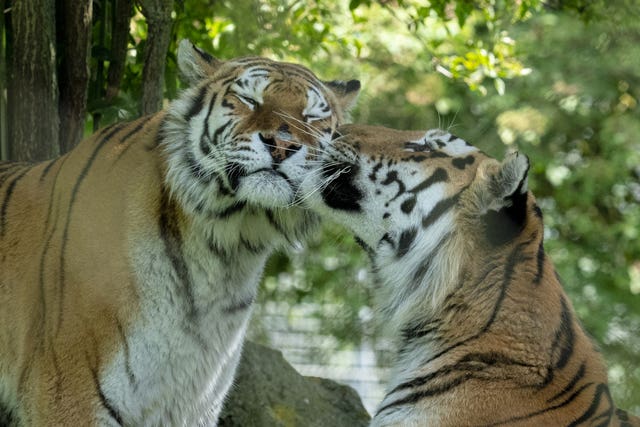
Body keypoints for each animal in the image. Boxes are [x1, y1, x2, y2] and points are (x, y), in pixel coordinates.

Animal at [0, 38, 360, 426]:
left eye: (312, 117)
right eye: (249, 100)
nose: (282, 144)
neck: (227, 248)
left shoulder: (194, 402)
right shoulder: (70, 394)